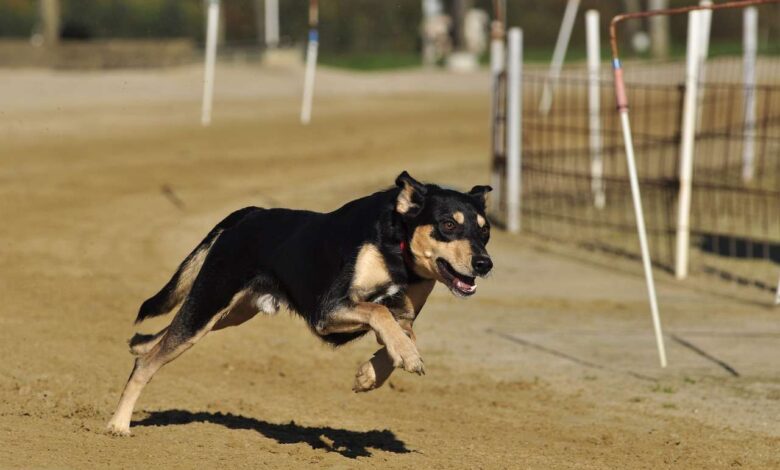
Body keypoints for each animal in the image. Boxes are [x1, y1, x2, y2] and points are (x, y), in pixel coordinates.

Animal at [106, 171, 494, 436]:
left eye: (485, 230)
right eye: (447, 225)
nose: (484, 264)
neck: (397, 249)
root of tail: (250, 213)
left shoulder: (404, 315)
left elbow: (401, 332)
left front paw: (371, 374)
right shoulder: (328, 309)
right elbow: (379, 311)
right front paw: (405, 359)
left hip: (229, 312)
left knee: (155, 342)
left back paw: (138, 346)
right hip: (209, 303)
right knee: (148, 364)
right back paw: (118, 424)